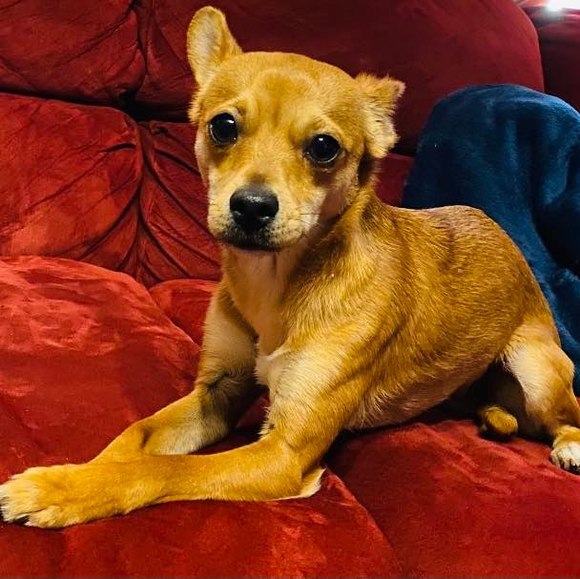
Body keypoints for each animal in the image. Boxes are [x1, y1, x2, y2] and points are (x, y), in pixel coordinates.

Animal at [1, 6, 579, 528]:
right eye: (223, 126)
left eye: (324, 148)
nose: (252, 206)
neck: (274, 284)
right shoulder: (218, 391)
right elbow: (136, 437)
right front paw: (78, 475)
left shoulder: (283, 452)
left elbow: (161, 470)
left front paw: (58, 490)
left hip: (538, 368)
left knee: (567, 413)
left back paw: (568, 445)